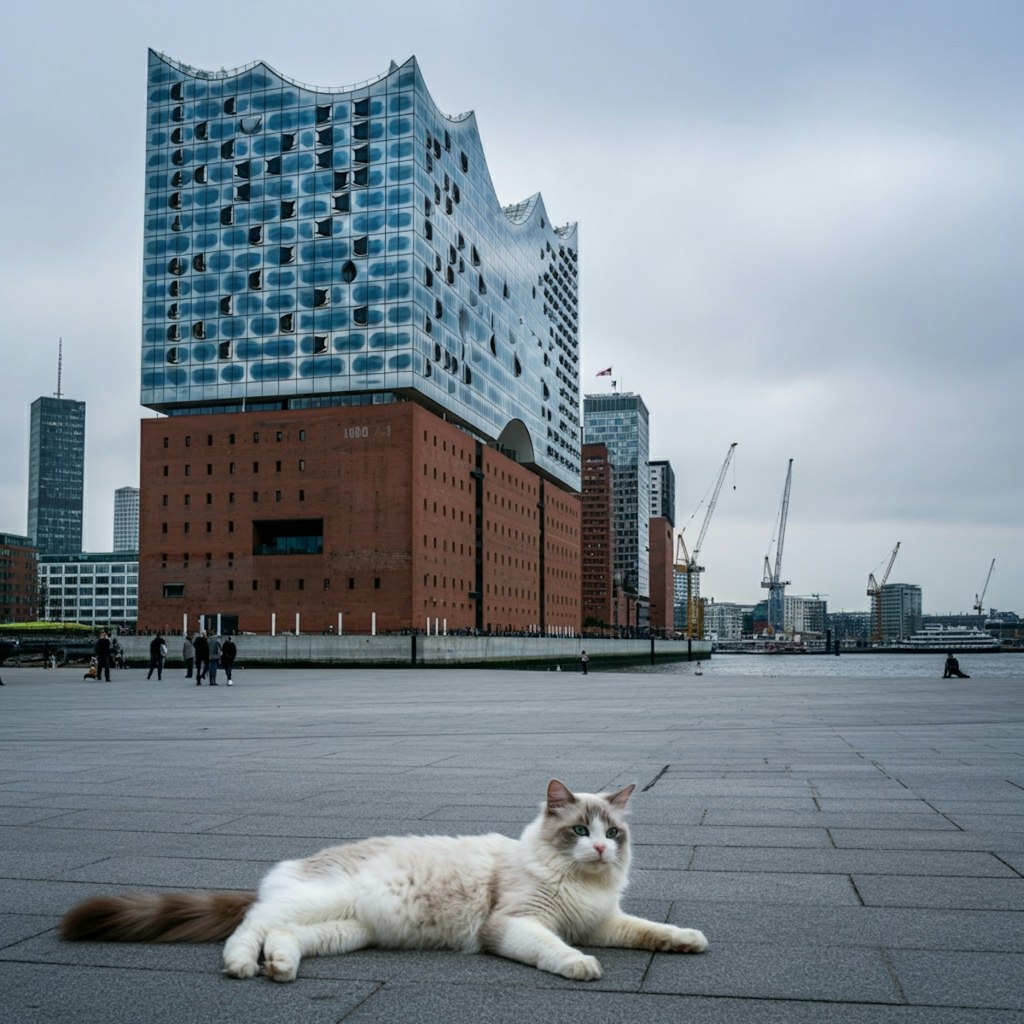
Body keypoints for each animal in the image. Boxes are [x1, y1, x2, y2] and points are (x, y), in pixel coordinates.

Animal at [61, 778, 704, 978]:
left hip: (345, 931)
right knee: (250, 927)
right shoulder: (516, 924)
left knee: (281, 938)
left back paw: (281, 968)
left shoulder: (602, 922)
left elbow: (651, 930)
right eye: (577, 831)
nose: (598, 848)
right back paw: (245, 966)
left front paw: (688, 940)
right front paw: (580, 966)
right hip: (319, 903)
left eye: (612, 833)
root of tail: (292, 867)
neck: (582, 888)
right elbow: (556, 950)